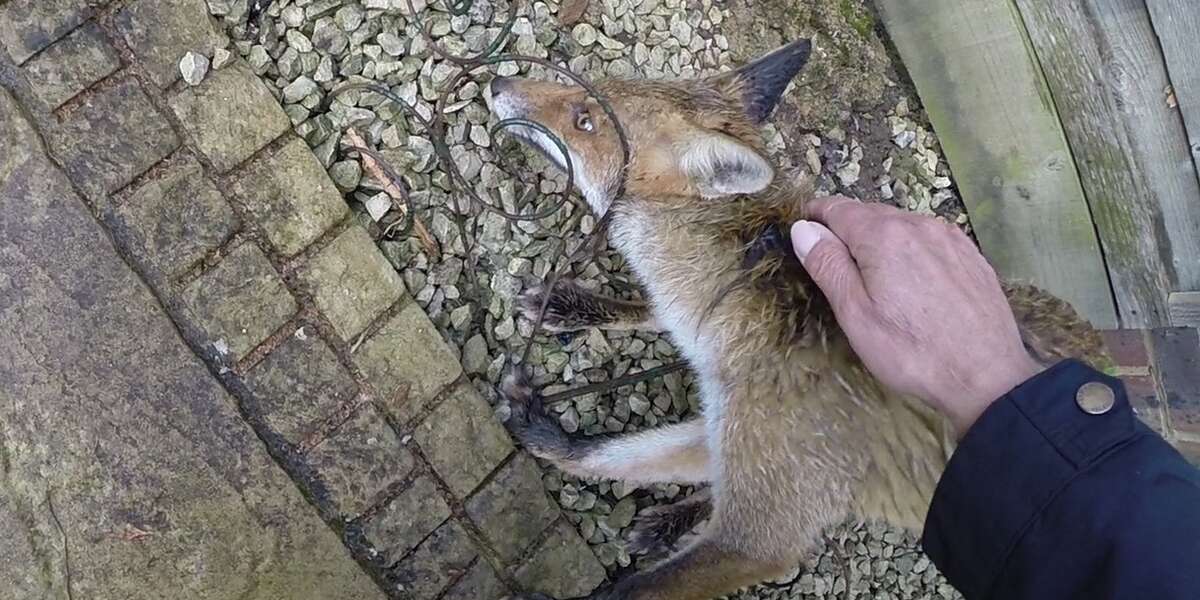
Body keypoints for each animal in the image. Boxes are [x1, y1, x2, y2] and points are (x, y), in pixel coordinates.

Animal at [488, 39, 1109, 600]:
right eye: (588, 92)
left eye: (584, 119)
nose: (498, 82)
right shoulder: (738, 425)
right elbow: (610, 452)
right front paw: (543, 424)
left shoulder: (765, 513)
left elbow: (639, 585)